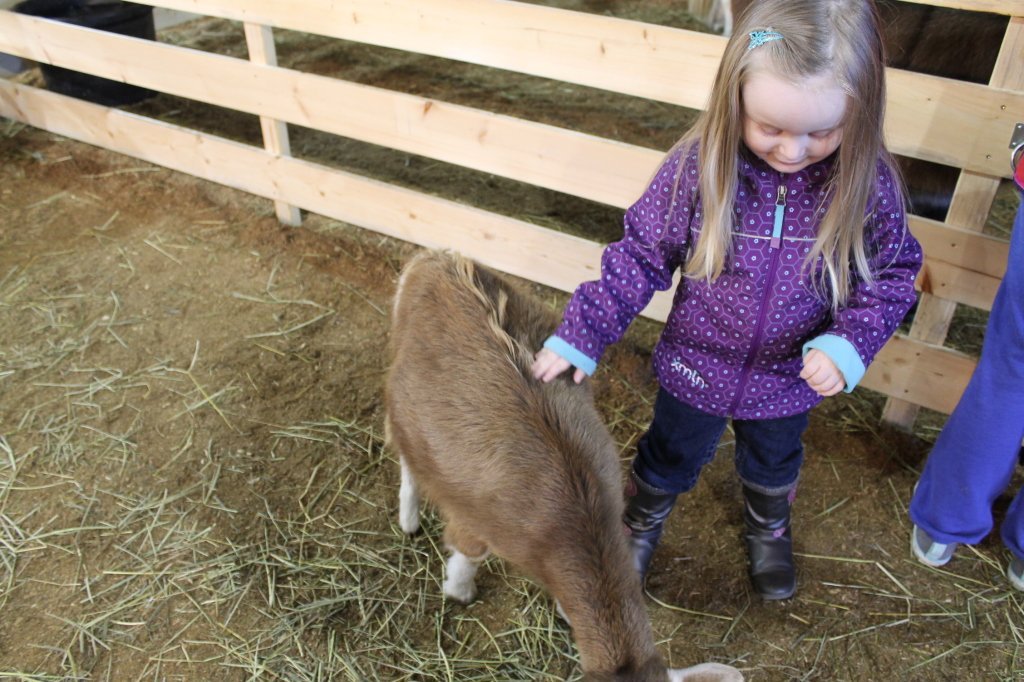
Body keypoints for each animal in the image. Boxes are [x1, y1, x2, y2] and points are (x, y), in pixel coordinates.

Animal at [385, 250, 745, 679]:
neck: (569, 523)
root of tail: (435, 260)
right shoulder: (475, 521)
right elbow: (467, 555)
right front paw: (459, 592)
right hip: (405, 407)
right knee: (408, 460)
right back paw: (409, 519)